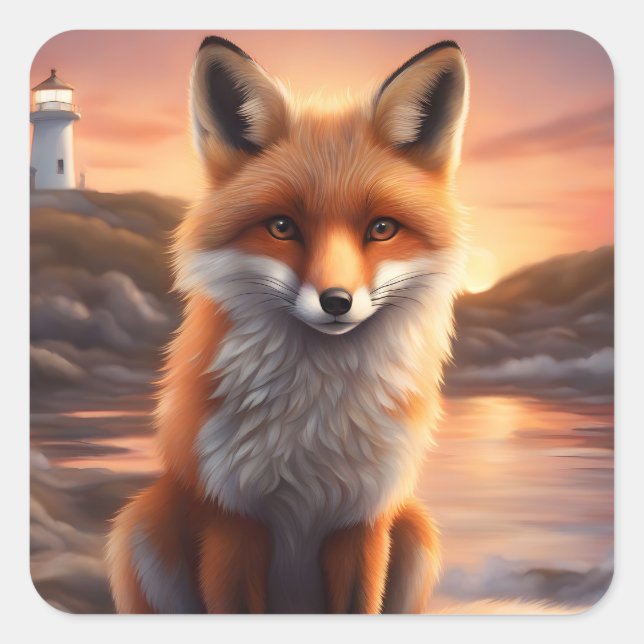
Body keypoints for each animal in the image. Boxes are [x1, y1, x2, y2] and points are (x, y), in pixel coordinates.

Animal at [107, 35, 469, 614]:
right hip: (140, 525)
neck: (316, 428)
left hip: (415, 530)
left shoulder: (362, 523)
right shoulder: (232, 520)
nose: (337, 301)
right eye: (282, 227)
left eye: (382, 229)